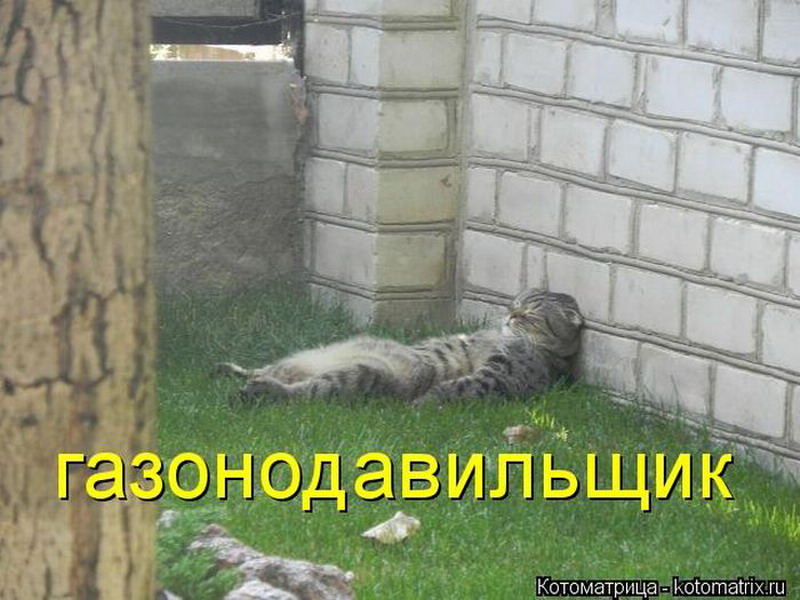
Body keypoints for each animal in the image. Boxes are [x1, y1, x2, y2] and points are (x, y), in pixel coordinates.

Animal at [213, 288, 584, 406]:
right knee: (267, 369)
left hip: (358, 375)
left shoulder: (499, 375)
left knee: (299, 392)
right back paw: (232, 370)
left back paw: (260, 390)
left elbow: (454, 388)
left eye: (531, 315)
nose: (510, 315)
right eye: (515, 303)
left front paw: (425, 402)